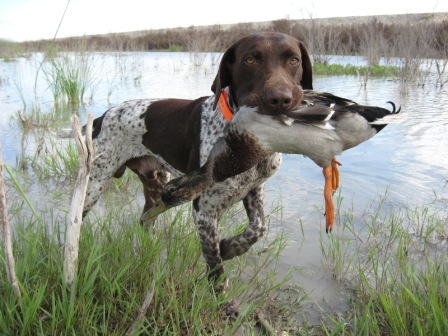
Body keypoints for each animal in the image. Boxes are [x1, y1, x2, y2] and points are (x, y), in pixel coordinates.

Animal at [81, 32, 312, 318]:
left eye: (293, 60)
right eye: (250, 59)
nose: (280, 99)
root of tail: (103, 116)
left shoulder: (253, 190)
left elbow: (257, 228)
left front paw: (229, 248)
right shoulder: (204, 212)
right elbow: (216, 269)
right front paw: (224, 304)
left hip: (158, 184)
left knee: (145, 221)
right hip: (93, 186)